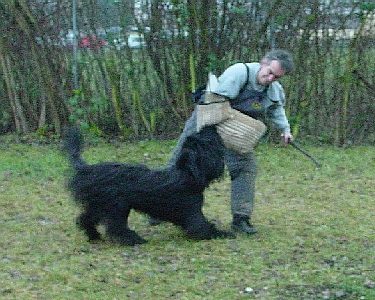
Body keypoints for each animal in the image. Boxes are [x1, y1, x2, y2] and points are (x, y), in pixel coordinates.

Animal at [64, 125, 235, 245]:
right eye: (208, 141)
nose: (210, 126)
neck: (187, 174)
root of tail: (86, 169)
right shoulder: (192, 212)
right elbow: (202, 228)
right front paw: (224, 233)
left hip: (99, 205)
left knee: (84, 219)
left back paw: (94, 236)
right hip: (116, 206)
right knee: (116, 227)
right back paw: (133, 240)